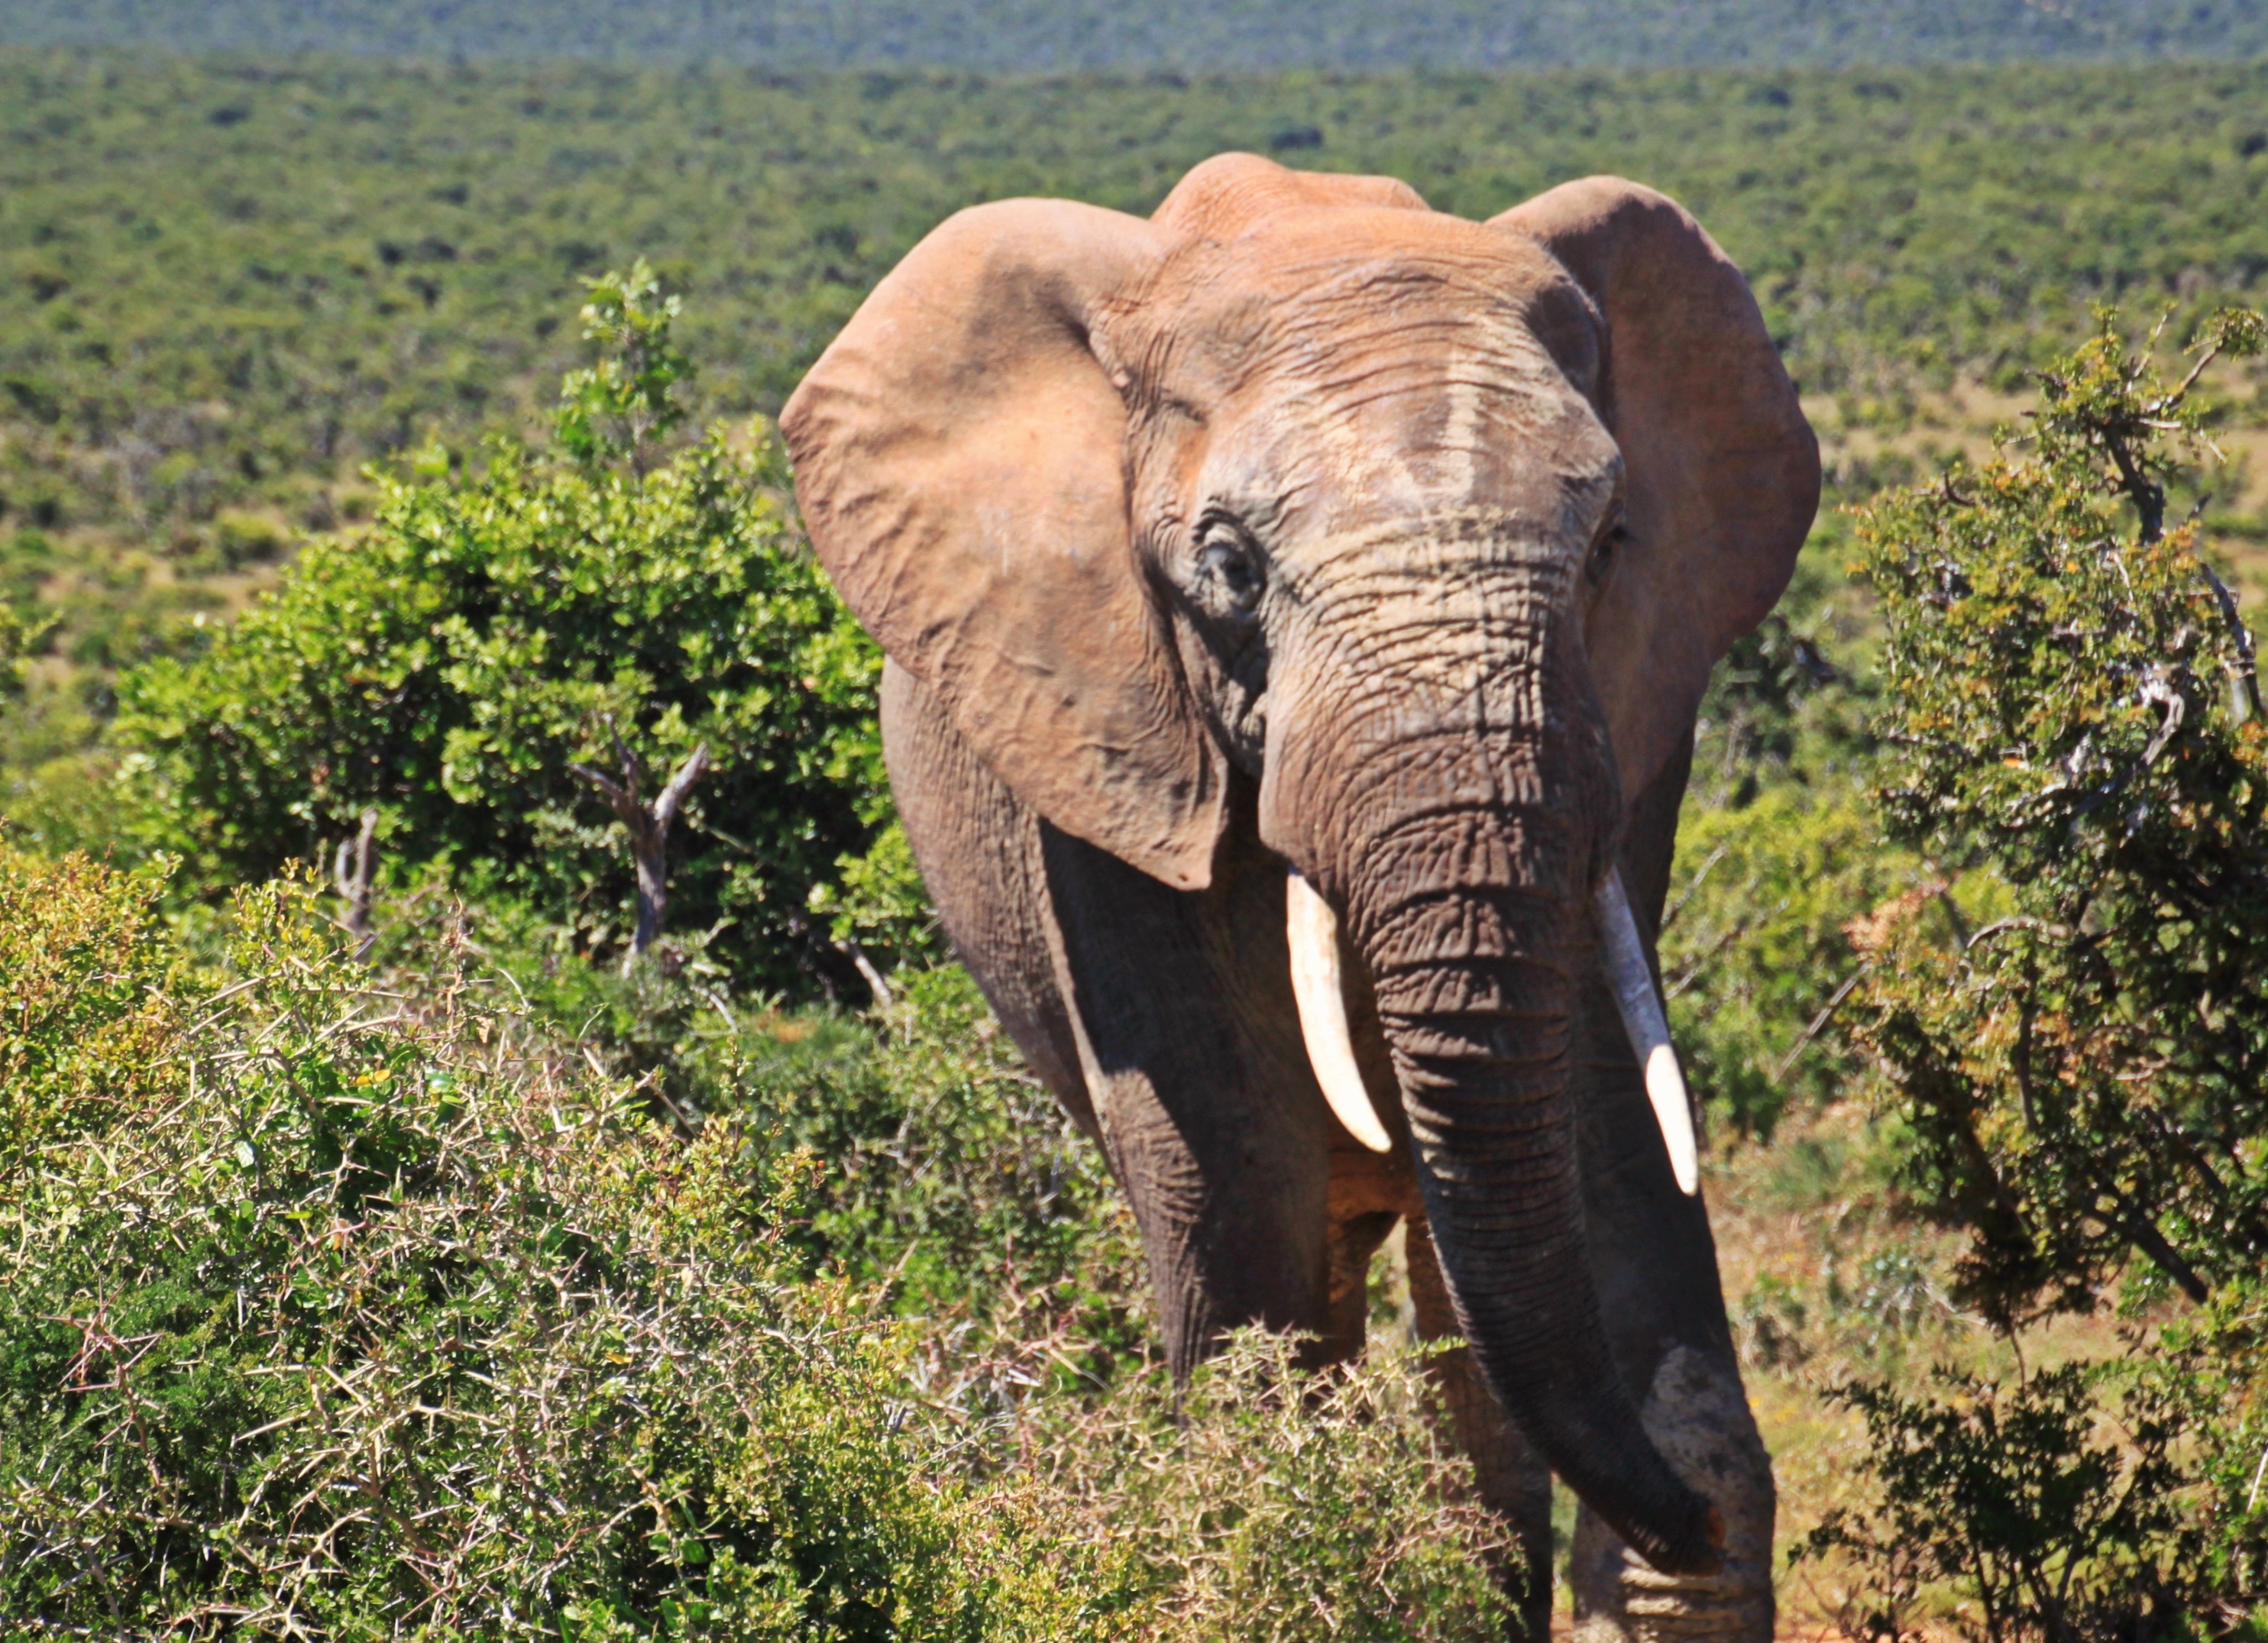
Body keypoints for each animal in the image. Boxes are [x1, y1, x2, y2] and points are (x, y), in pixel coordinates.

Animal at [789, 157, 1814, 1643]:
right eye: (1229, 567)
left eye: (1611, 542)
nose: (1684, 1518)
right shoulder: (1100, 750)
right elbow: (1237, 1196)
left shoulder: (1625, 735)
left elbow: (1600, 1133)